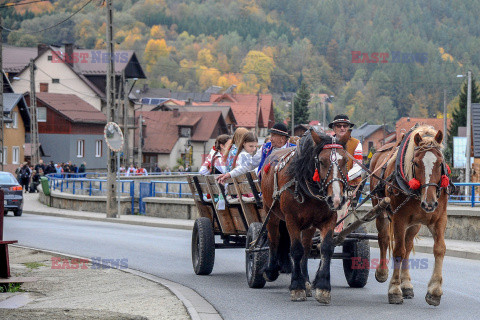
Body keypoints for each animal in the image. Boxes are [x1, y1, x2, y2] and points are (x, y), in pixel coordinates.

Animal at [260, 129, 346, 304]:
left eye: (346, 161)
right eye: (321, 162)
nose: (336, 199)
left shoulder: (329, 219)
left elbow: (326, 248)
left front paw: (322, 287)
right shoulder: (291, 220)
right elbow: (296, 250)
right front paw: (297, 286)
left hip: (309, 224)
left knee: (306, 248)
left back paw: (306, 280)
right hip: (270, 213)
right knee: (274, 239)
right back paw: (271, 270)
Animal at [370, 124, 448, 304]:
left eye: (440, 163)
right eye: (416, 163)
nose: (429, 203)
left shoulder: (439, 218)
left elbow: (439, 249)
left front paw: (434, 290)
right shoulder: (399, 218)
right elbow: (398, 250)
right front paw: (394, 289)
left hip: (415, 224)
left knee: (408, 244)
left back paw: (406, 284)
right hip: (380, 209)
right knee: (384, 239)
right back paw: (383, 272)